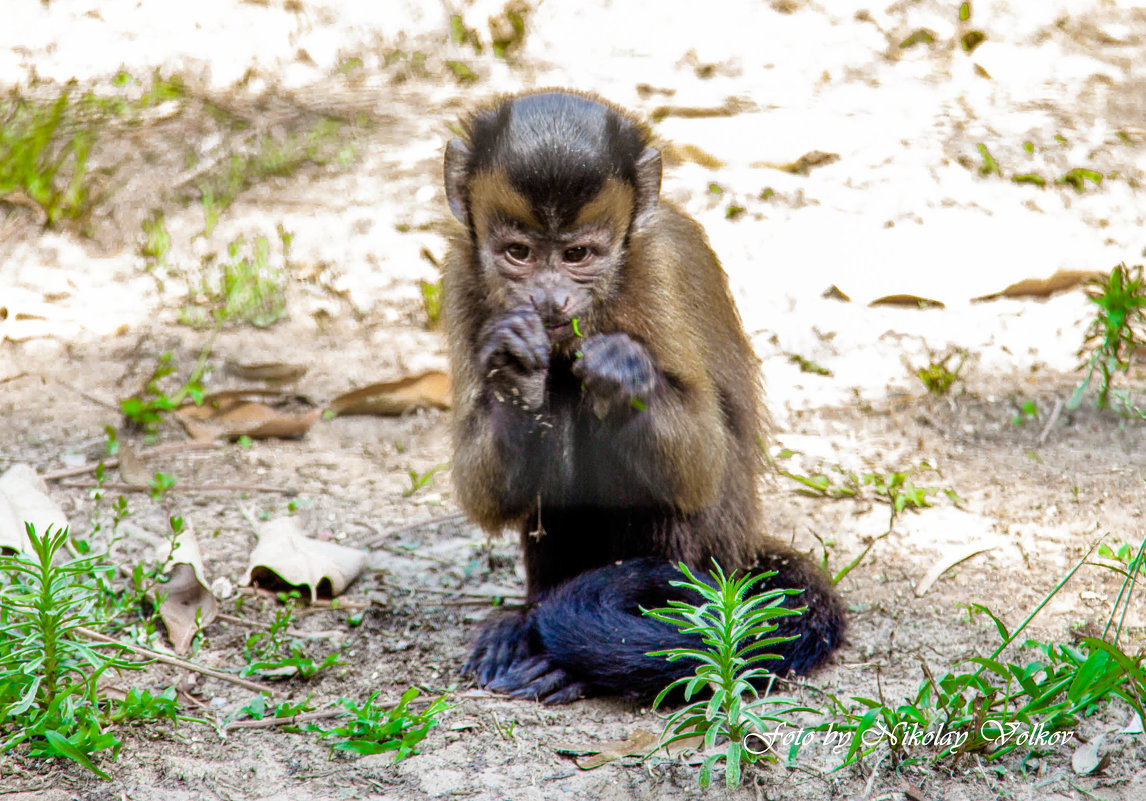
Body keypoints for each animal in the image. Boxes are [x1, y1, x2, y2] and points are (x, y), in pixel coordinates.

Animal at [437, 89, 843, 701]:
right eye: (519, 253)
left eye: (578, 255)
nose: (549, 300)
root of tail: (744, 550)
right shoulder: (461, 277)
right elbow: (482, 490)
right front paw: (513, 369)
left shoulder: (658, 269)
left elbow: (701, 464)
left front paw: (624, 373)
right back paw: (531, 623)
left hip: (718, 550)